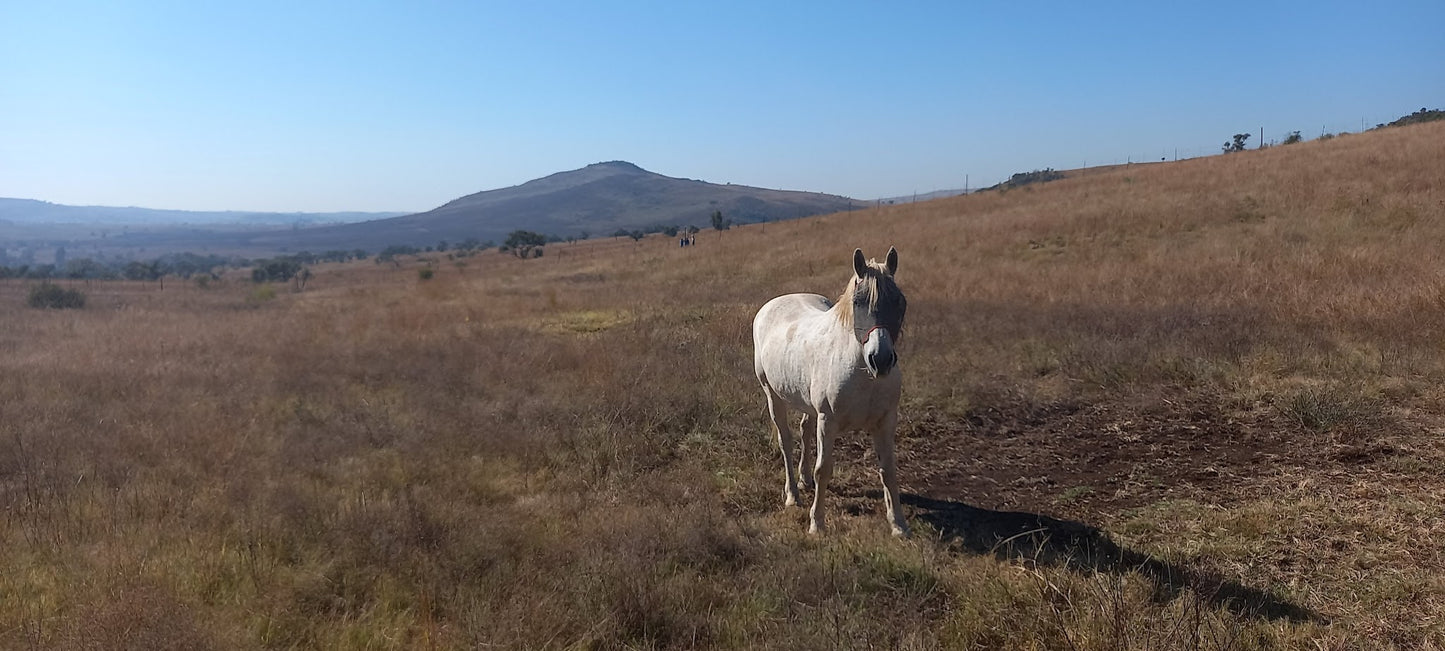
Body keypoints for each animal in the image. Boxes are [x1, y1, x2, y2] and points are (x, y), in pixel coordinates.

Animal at [751, 246, 907, 536]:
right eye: (858, 302)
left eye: (899, 302)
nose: (880, 360)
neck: (863, 375)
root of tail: (773, 304)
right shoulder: (828, 421)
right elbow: (823, 470)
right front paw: (817, 524)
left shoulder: (885, 421)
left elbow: (888, 470)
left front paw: (899, 525)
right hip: (772, 394)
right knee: (785, 440)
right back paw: (792, 494)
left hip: (806, 402)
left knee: (804, 430)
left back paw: (803, 481)